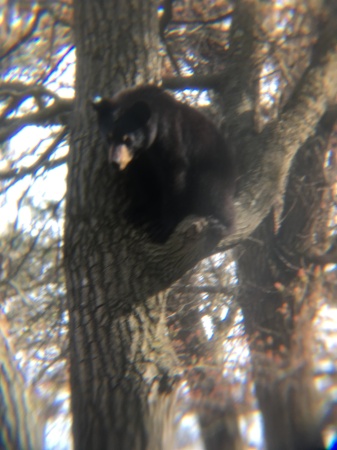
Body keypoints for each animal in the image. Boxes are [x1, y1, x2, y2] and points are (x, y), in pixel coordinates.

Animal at [92, 85, 234, 243]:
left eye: (127, 139)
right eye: (109, 137)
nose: (115, 162)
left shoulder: (171, 137)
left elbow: (174, 174)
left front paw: (163, 227)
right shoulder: (140, 161)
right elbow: (142, 181)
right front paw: (139, 210)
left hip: (214, 166)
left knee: (213, 191)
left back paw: (222, 224)